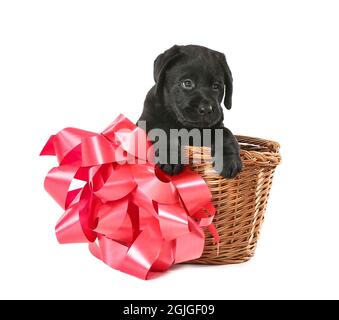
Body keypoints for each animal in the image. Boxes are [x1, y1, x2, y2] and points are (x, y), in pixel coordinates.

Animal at [137, 44, 243, 180]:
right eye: (187, 83)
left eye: (216, 86)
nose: (206, 109)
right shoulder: (148, 122)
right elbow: (165, 132)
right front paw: (171, 159)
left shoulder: (216, 127)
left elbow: (227, 134)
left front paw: (230, 160)